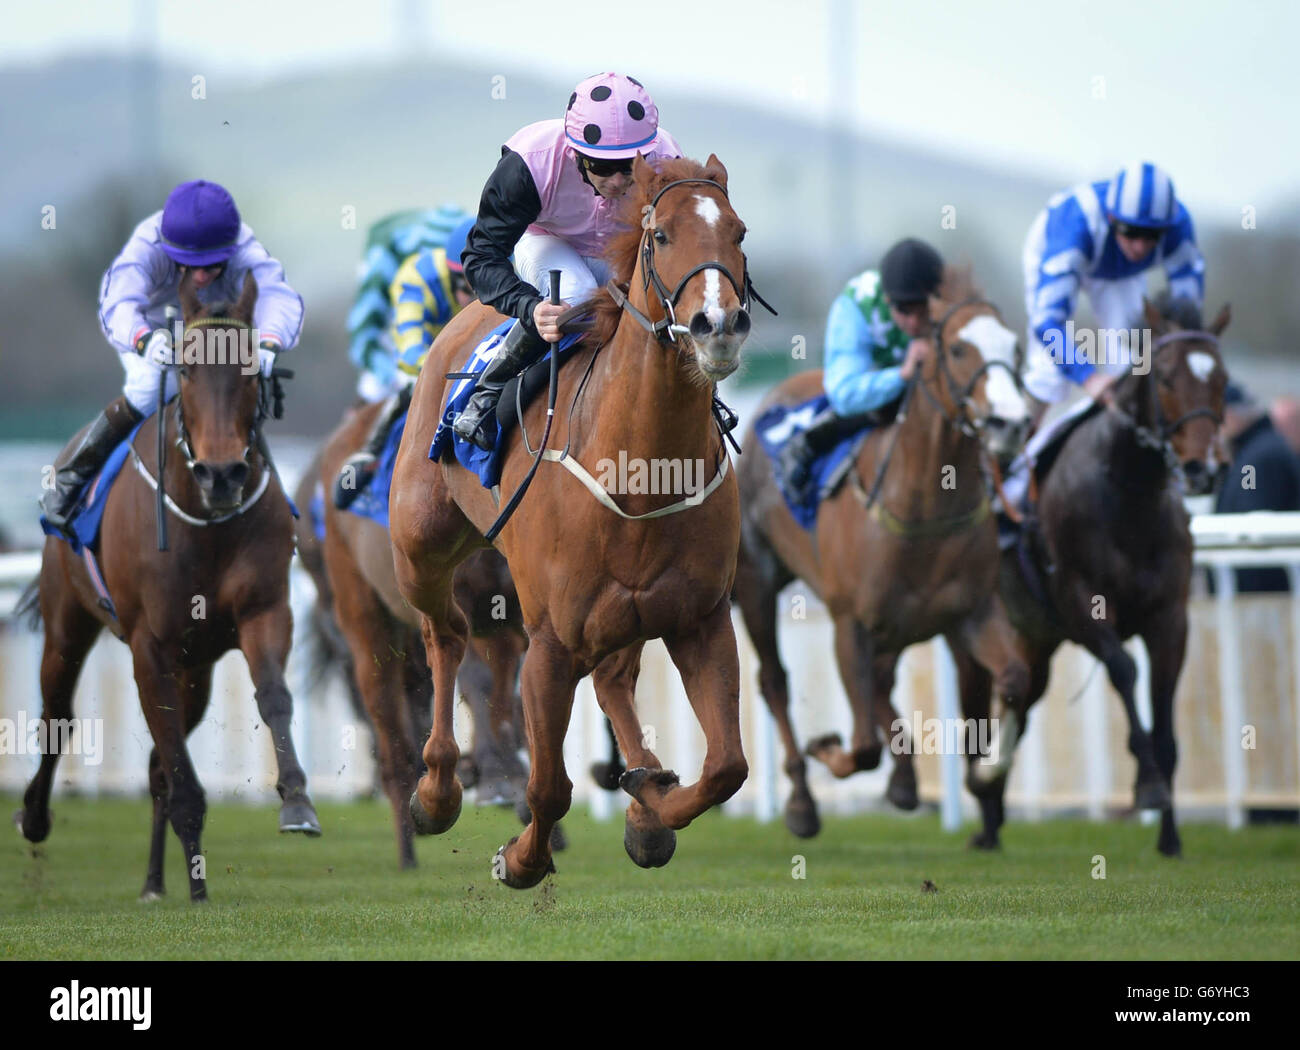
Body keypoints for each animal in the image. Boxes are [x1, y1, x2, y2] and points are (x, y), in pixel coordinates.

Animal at [19, 272, 317, 904]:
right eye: (185, 372)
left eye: (251, 371)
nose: (223, 474)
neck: (206, 521)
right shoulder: (148, 646)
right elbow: (177, 769)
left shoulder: (264, 612)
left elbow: (272, 696)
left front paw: (297, 803)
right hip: (67, 623)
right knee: (58, 716)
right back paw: (34, 815)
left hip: (196, 667)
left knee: (159, 761)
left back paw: (163, 882)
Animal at [395, 153, 759, 883]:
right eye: (662, 237)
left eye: (737, 232)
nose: (719, 324)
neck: (640, 470)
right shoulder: (550, 641)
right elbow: (546, 786)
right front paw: (519, 860)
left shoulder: (700, 619)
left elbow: (726, 767)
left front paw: (650, 804)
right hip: (419, 546)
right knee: (446, 634)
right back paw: (437, 790)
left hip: (628, 617)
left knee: (616, 681)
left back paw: (644, 800)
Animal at [738, 268, 1029, 836]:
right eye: (957, 348)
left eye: (1014, 346)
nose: (1010, 423)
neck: (924, 507)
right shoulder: (849, 621)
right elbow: (862, 745)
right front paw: (827, 750)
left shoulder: (971, 611)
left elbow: (1015, 680)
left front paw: (987, 774)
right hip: (757, 581)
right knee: (775, 681)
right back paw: (802, 800)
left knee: (879, 684)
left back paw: (904, 779)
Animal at [961, 294, 1232, 852]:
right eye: (1165, 377)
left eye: (1222, 379)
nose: (1203, 469)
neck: (1129, 496)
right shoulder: (1082, 605)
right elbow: (1125, 673)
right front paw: (1148, 786)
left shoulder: (1170, 618)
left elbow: (1165, 716)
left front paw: (1170, 836)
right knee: (976, 714)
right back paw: (986, 815)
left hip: (1035, 641)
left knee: (1022, 700)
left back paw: (994, 811)